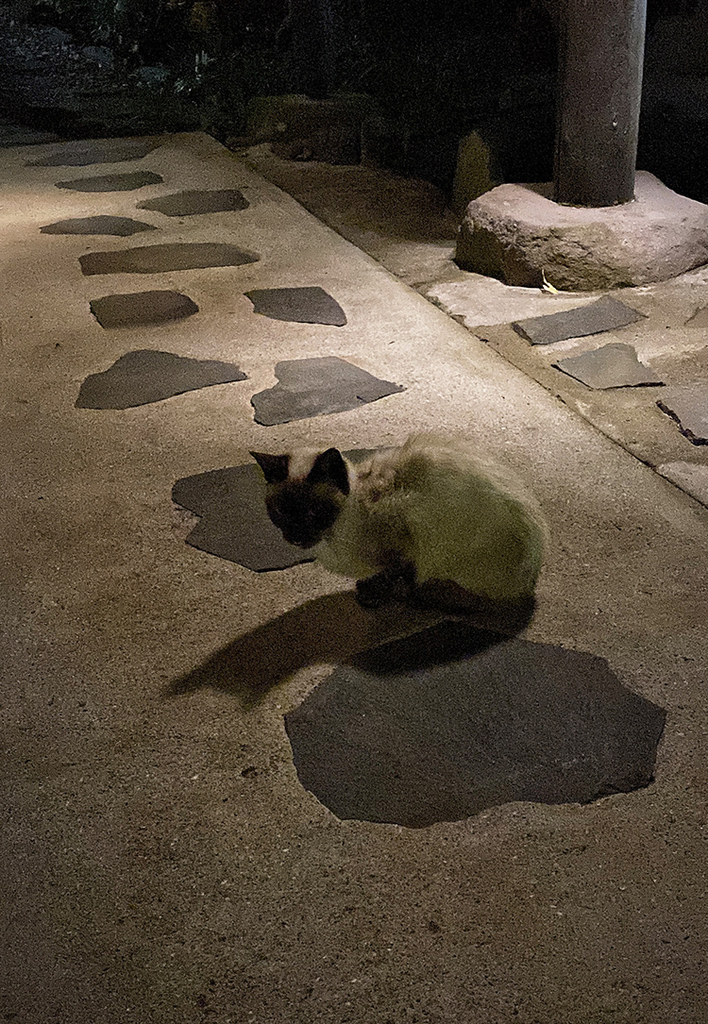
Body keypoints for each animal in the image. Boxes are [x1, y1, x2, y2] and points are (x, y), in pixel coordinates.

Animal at [252, 432, 549, 606]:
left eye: (314, 512)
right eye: (281, 512)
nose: (294, 537)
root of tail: (530, 584)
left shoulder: (406, 546)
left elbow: (396, 576)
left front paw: (376, 595)